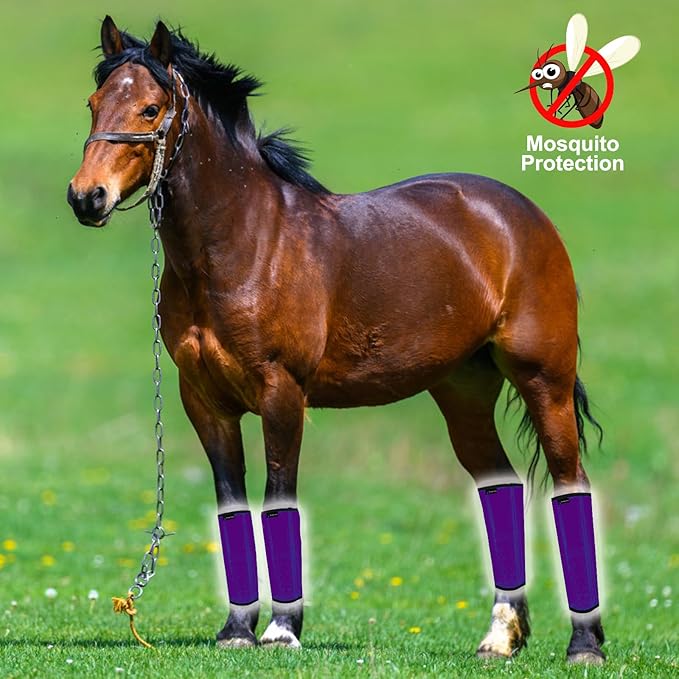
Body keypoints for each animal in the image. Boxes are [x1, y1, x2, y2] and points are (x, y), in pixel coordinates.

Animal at [68, 17, 606, 664]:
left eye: (150, 109)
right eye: (94, 103)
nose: (86, 197)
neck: (244, 243)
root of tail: (519, 213)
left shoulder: (281, 394)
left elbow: (279, 498)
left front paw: (281, 630)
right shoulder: (204, 402)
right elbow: (231, 506)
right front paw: (236, 630)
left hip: (543, 380)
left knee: (570, 485)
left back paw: (584, 643)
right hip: (463, 390)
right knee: (499, 486)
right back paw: (500, 636)